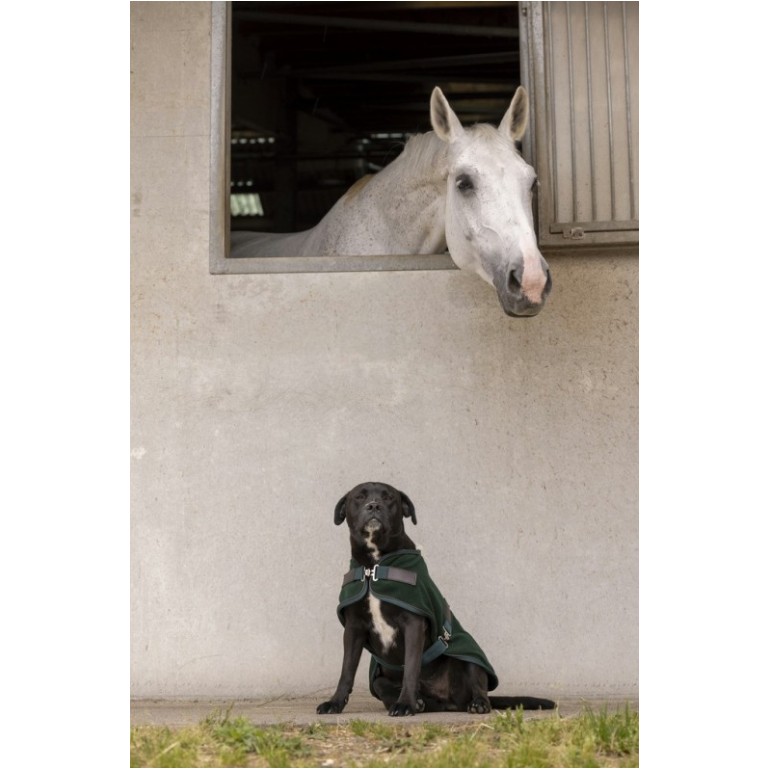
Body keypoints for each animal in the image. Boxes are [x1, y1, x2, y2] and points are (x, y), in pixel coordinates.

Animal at [316, 476, 556, 716]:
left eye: (389, 497)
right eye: (359, 497)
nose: (374, 506)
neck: (373, 566)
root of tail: (451, 701)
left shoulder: (413, 624)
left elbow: (411, 668)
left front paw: (405, 704)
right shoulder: (353, 628)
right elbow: (346, 671)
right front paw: (334, 703)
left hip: (471, 655)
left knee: (480, 686)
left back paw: (475, 703)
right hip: (379, 680)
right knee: (386, 687)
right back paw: (420, 703)